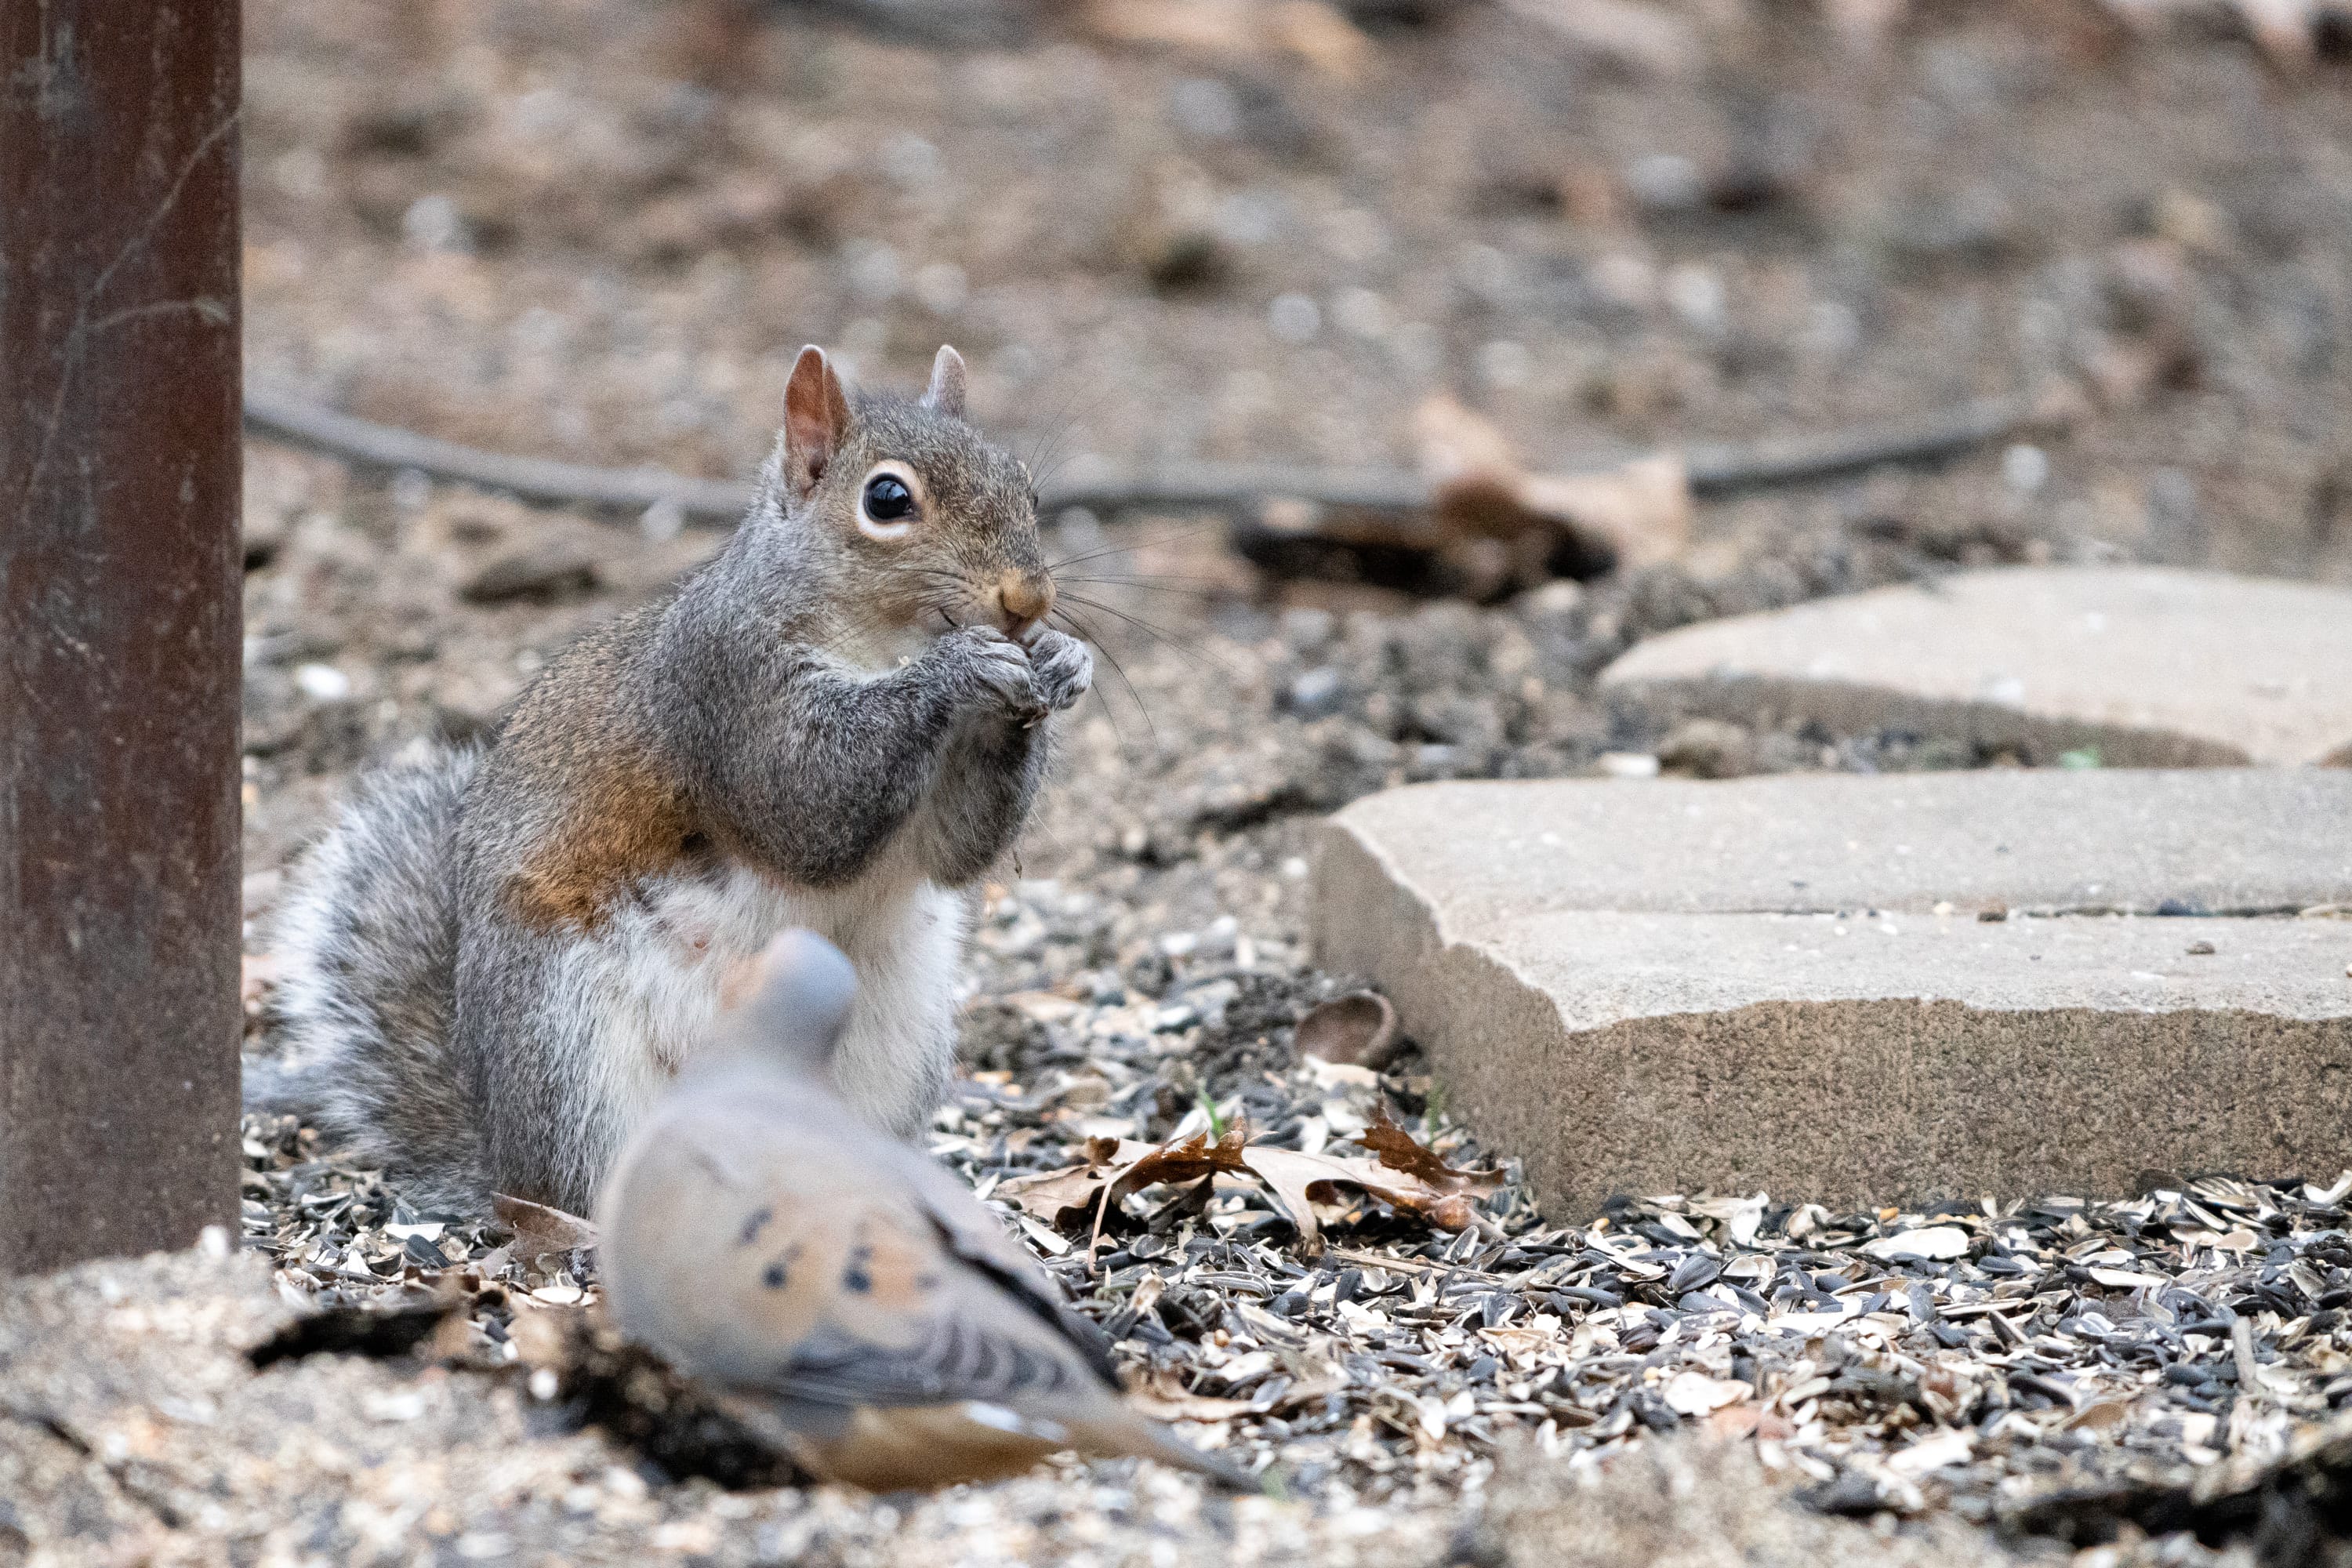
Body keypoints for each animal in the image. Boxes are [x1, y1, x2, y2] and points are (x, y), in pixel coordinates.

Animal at [250, 344, 1092, 1217]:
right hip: (570, 1051)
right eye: (887, 500)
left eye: (1026, 485)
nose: (1028, 598)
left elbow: (956, 849)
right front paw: (958, 669)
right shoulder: (724, 690)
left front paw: (1062, 661)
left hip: (896, 1040)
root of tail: (503, 1152)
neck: (879, 642)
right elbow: (806, 807)